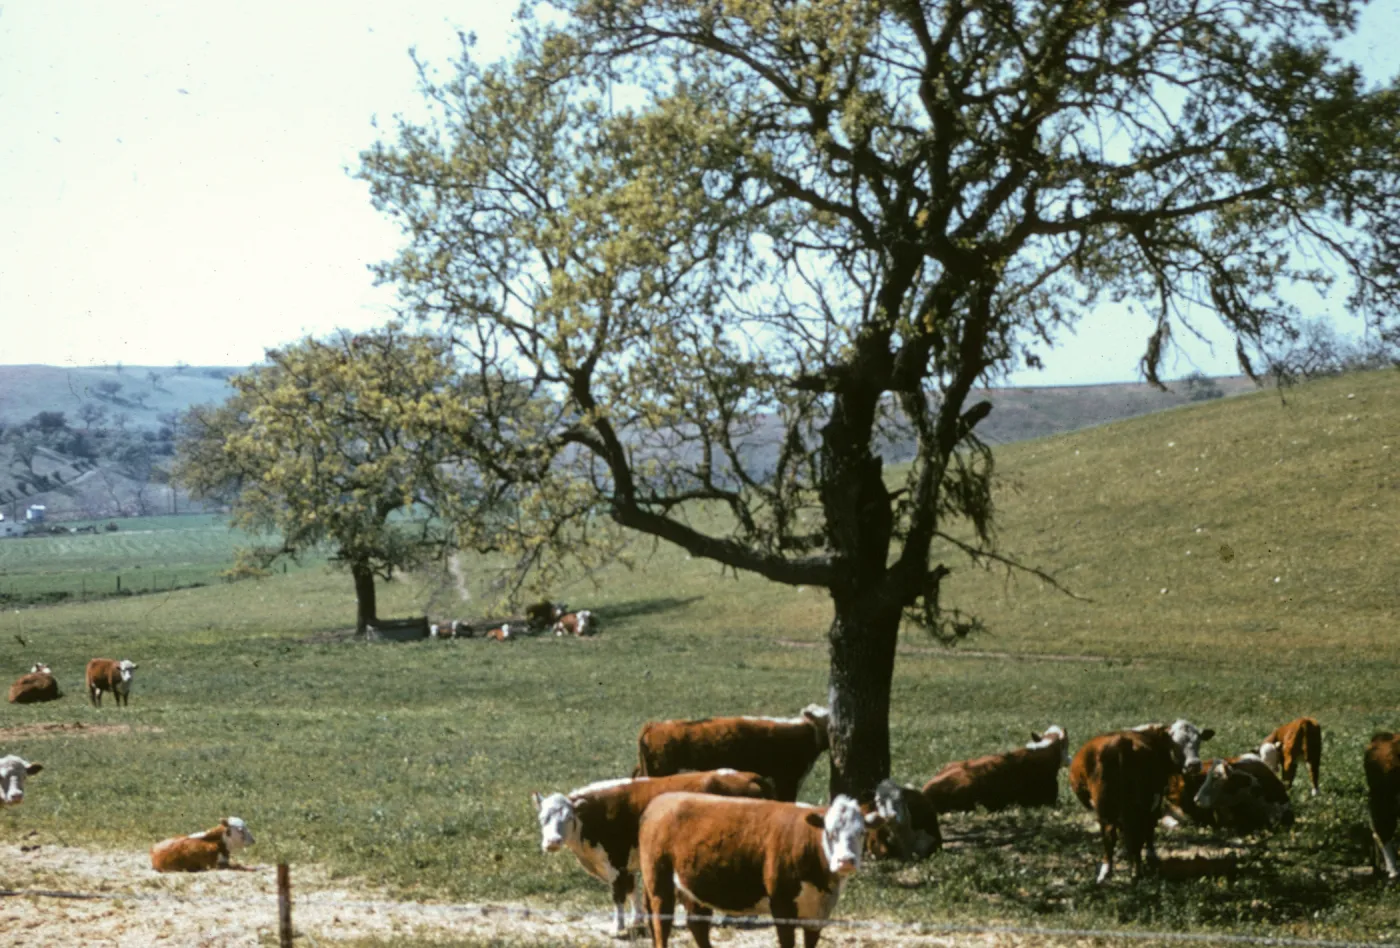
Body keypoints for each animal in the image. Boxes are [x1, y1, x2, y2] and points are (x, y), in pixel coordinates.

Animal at [531, 770, 776, 935]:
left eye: (568, 818)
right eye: (543, 818)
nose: (552, 841)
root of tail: (746, 775)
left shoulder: (616, 861)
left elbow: (618, 895)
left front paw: (617, 926)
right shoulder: (627, 864)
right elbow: (633, 890)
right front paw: (636, 920)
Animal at [638, 793, 881, 948]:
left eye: (861, 832)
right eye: (829, 833)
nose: (846, 861)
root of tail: (659, 801)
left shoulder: (817, 914)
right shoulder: (781, 904)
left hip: (694, 886)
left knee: (698, 926)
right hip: (658, 882)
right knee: (661, 925)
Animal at [1069, 725, 1185, 883]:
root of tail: (1121, 743)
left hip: (1106, 807)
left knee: (1113, 834)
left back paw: (1109, 872)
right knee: (1135, 833)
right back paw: (1135, 871)